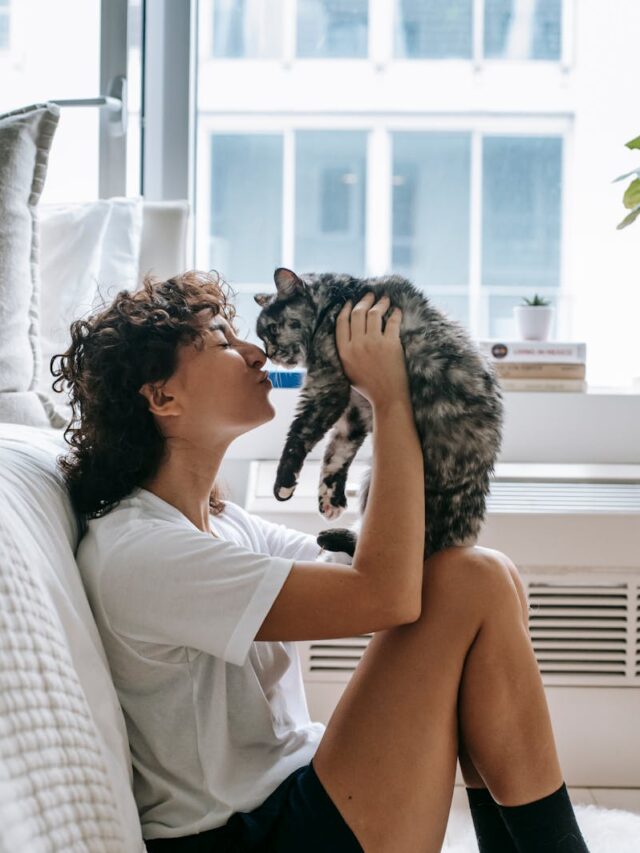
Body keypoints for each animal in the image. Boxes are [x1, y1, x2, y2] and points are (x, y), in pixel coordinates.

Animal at [252, 268, 502, 560]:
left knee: (420, 546)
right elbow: (337, 454)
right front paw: (330, 499)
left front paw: (284, 483)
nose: (269, 354)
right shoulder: (355, 410)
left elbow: (300, 434)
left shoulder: (328, 387)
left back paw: (334, 538)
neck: (335, 300)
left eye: (271, 329)